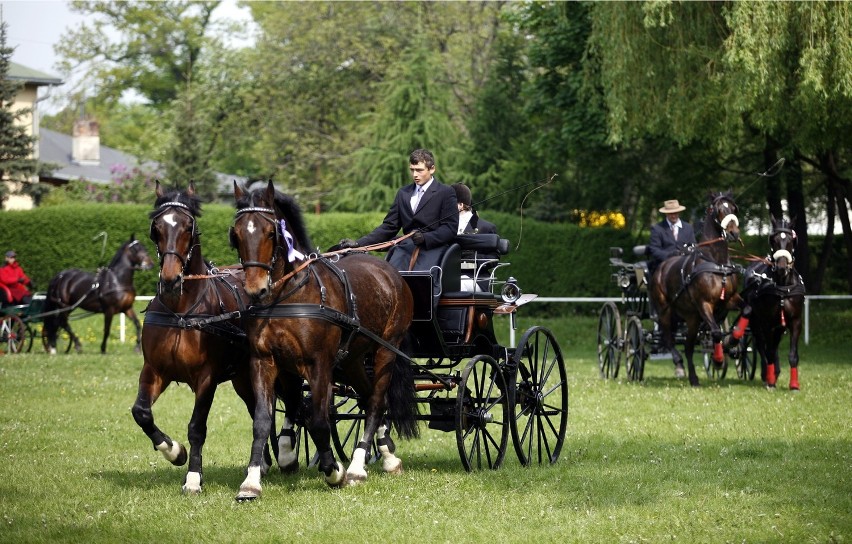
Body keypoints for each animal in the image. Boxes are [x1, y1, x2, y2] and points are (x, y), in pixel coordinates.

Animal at [135, 182, 288, 492]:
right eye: (157, 227)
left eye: (188, 226)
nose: (170, 280)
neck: (181, 311)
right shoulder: (154, 370)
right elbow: (141, 412)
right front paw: (174, 451)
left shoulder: (206, 377)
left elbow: (197, 427)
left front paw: (193, 477)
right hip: (243, 377)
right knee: (257, 411)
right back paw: (262, 464)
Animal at [231, 181, 418, 500]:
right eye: (237, 233)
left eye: (270, 232)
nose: (256, 289)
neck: (289, 295)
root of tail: (389, 272)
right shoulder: (266, 362)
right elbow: (262, 421)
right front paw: (251, 482)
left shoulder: (318, 364)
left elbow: (318, 421)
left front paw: (333, 471)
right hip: (353, 359)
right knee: (369, 398)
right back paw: (385, 455)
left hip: (385, 351)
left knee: (376, 401)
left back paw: (357, 467)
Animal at [648, 191, 744, 386]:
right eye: (718, 210)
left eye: (733, 208)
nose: (733, 233)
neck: (717, 263)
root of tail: (661, 267)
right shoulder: (704, 304)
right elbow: (716, 332)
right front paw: (718, 360)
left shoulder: (730, 299)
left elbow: (746, 309)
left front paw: (732, 339)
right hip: (664, 311)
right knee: (668, 338)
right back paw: (678, 363)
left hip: (691, 318)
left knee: (688, 346)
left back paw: (693, 377)